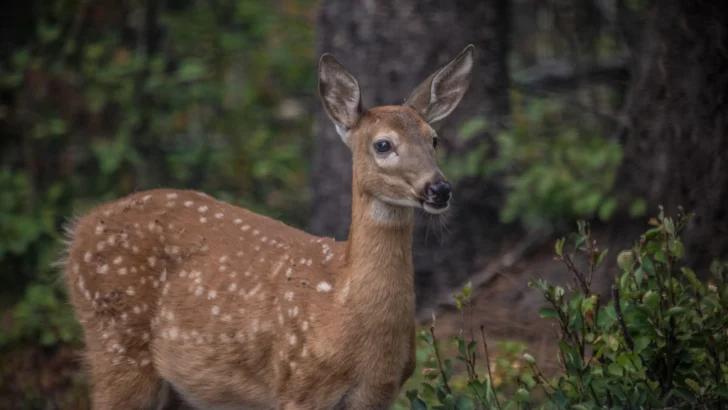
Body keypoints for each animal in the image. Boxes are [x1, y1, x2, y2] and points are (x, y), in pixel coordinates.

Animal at [62, 44, 475, 410]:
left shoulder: (378, 393)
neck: (343, 309)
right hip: (115, 343)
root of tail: (79, 228)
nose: (439, 189)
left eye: (434, 139)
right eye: (383, 144)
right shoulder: (298, 383)